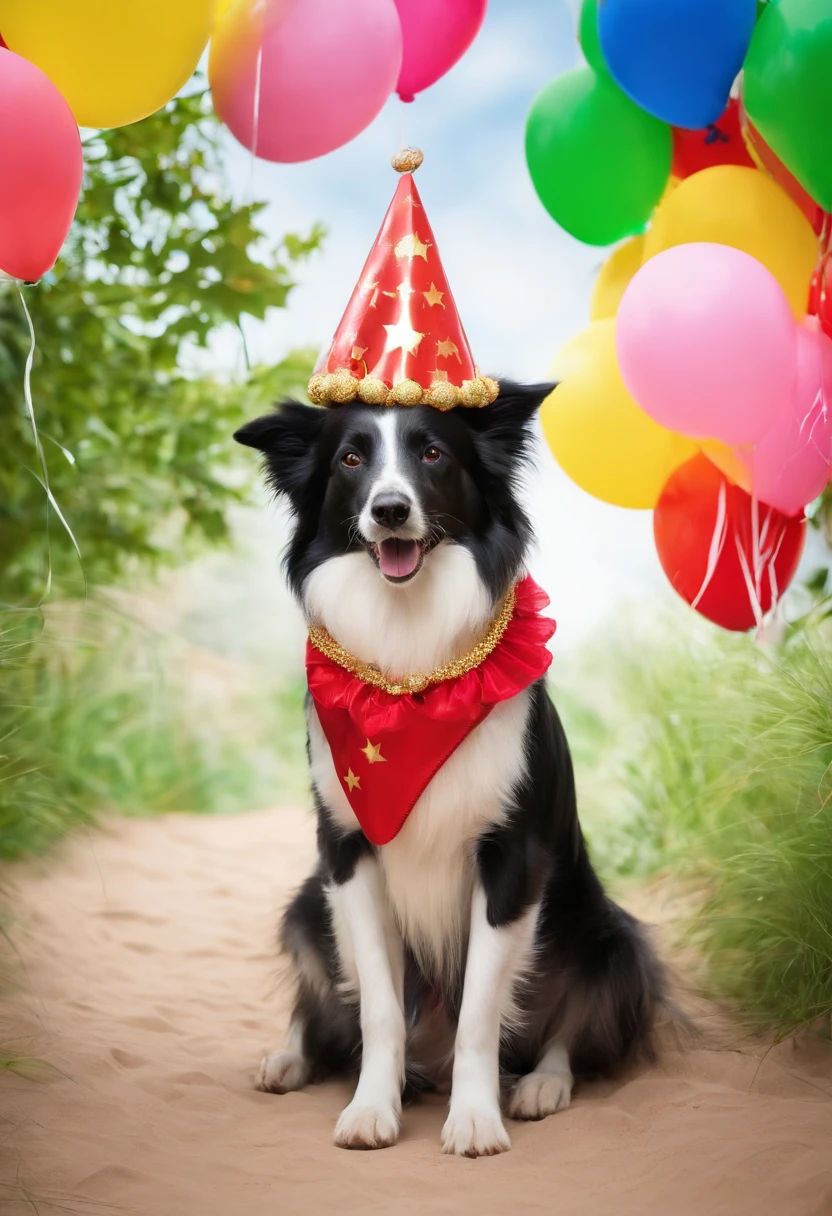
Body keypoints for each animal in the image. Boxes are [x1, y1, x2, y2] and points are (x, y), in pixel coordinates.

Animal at [232, 381, 661, 1157]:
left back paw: (540, 1085)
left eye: (432, 454)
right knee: (325, 1008)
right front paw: (371, 1109)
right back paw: (290, 1059)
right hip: (307, 906)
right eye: (350, 460)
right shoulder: (348, 854)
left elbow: (481, 1017)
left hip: (611, 935)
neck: (412, 666)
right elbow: (376, 1009)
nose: (390, 509)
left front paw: (476, 1119)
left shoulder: (511, 857)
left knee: (568, 1028)